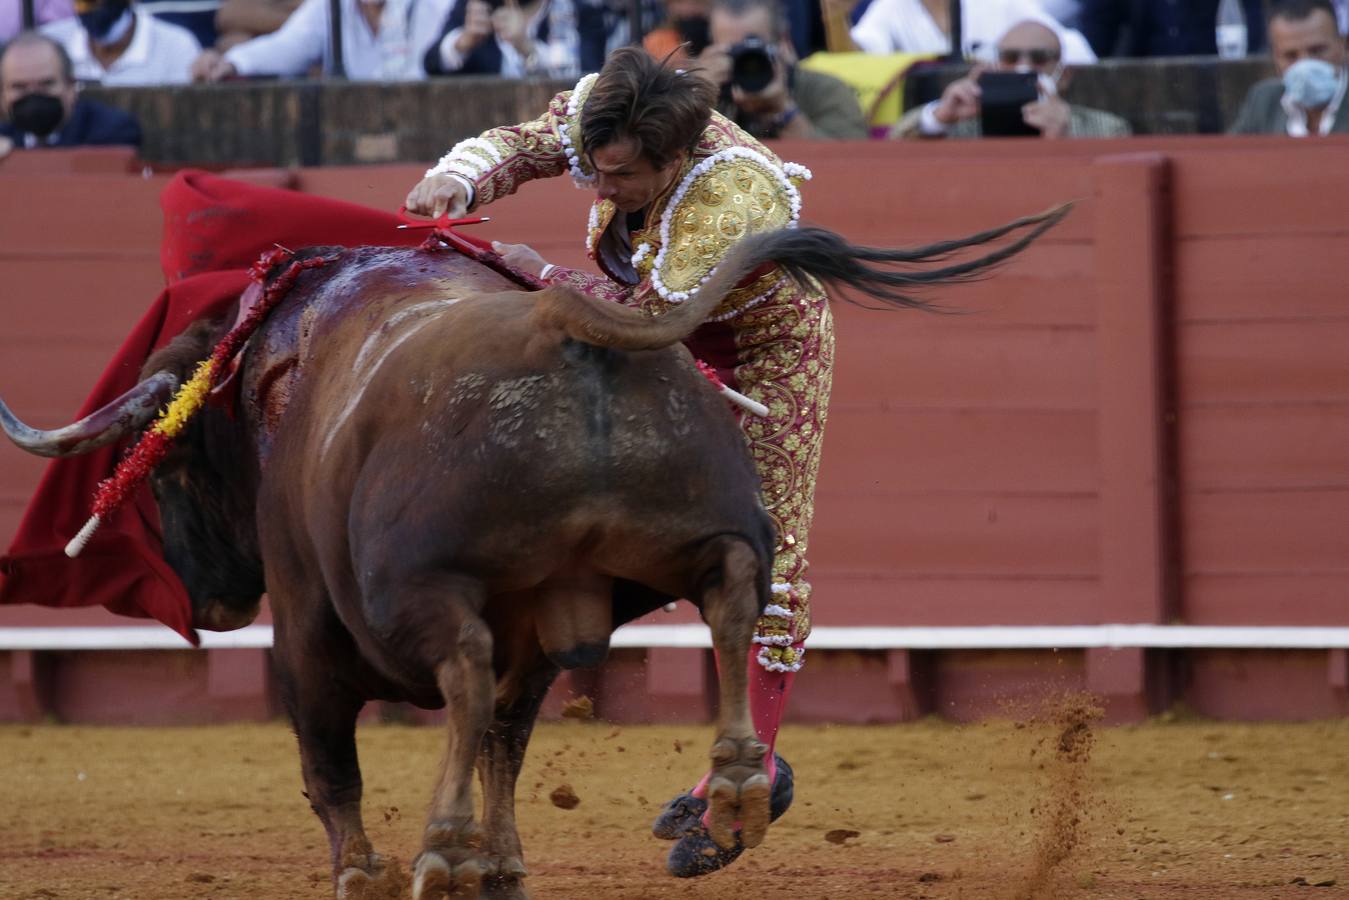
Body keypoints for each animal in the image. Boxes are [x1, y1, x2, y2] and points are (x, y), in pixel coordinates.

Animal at [5, 209, 1068, 895]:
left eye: (173, 466)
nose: (214, 603)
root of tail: (562, 317)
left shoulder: (306, 629)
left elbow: (333, 764)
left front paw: (368, 870)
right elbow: (504, 743)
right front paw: (502, 861)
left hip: (419, 588)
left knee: (467, 674)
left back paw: (442, 848)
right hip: (679, 537)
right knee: (734, 597)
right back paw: (728, 791)